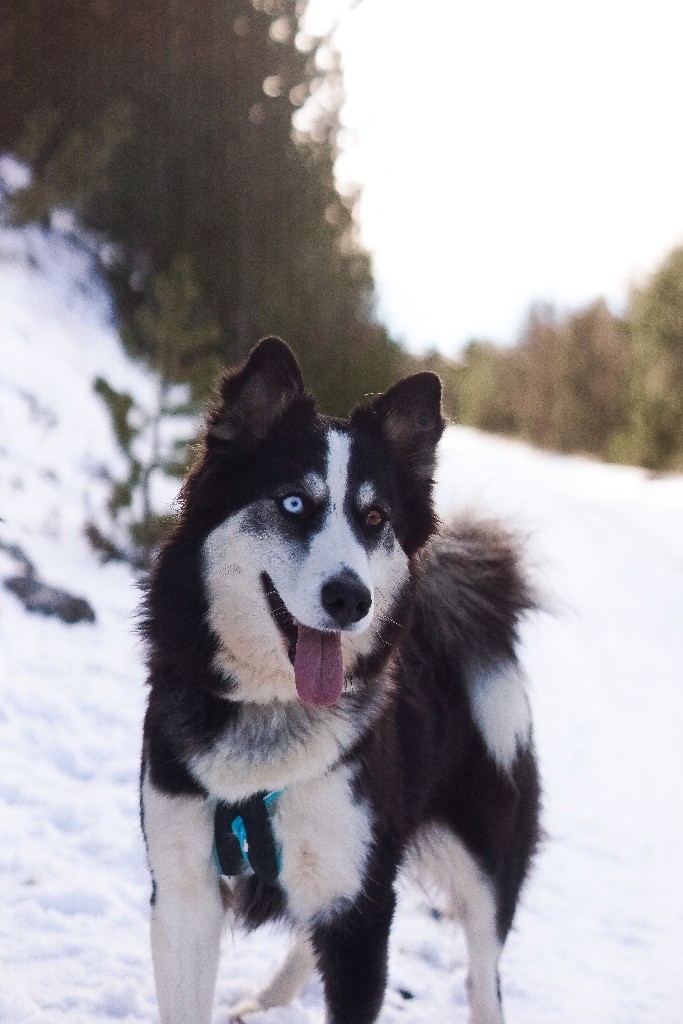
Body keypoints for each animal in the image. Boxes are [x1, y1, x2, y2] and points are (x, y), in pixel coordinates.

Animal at [140, 336, 541, 1024]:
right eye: (294, 503)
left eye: (375, 517)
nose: (351, 597)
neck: (271, 714)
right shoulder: (184, 893)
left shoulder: (361, 909)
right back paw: (268, 1000)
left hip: (486, 870)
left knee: (483, 978)